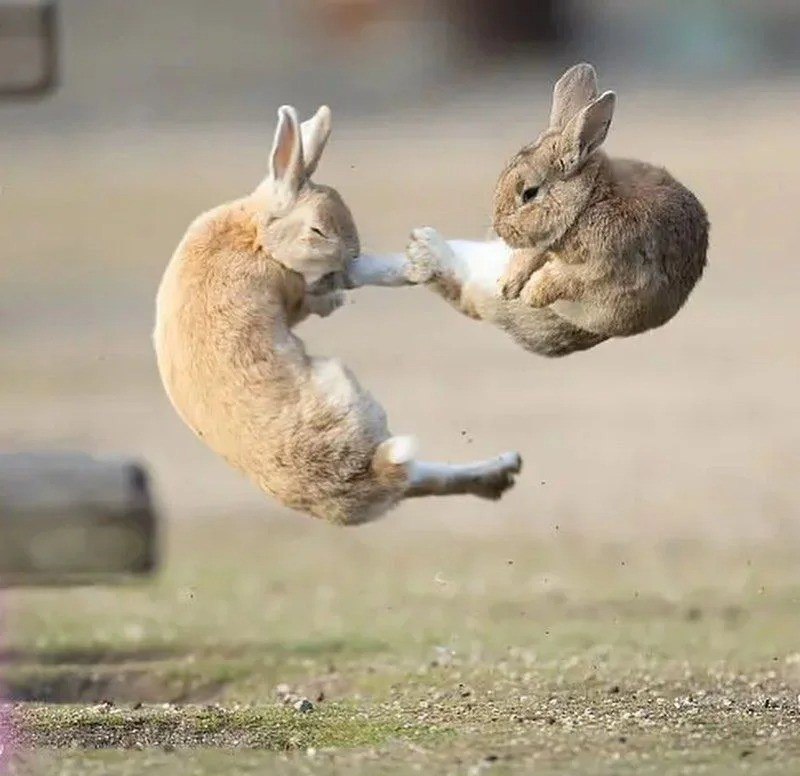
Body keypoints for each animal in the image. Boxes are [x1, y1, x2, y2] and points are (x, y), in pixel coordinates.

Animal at [154, 104, 521, 526]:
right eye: (317, 230)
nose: (350, 256)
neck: (257, 235)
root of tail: (370, 475)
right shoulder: (296, 290)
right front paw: (393, 274)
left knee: (422, 479)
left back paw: (502, 469)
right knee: (417, 474)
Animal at [394, 63, 708, 356]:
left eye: (529, 193)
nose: (499, 230)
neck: (587, 202)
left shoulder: (602, 268)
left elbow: (563, 278)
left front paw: (530, 294)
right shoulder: (541, 245)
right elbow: (530, 258)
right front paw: (509, 284)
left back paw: (424, 251)